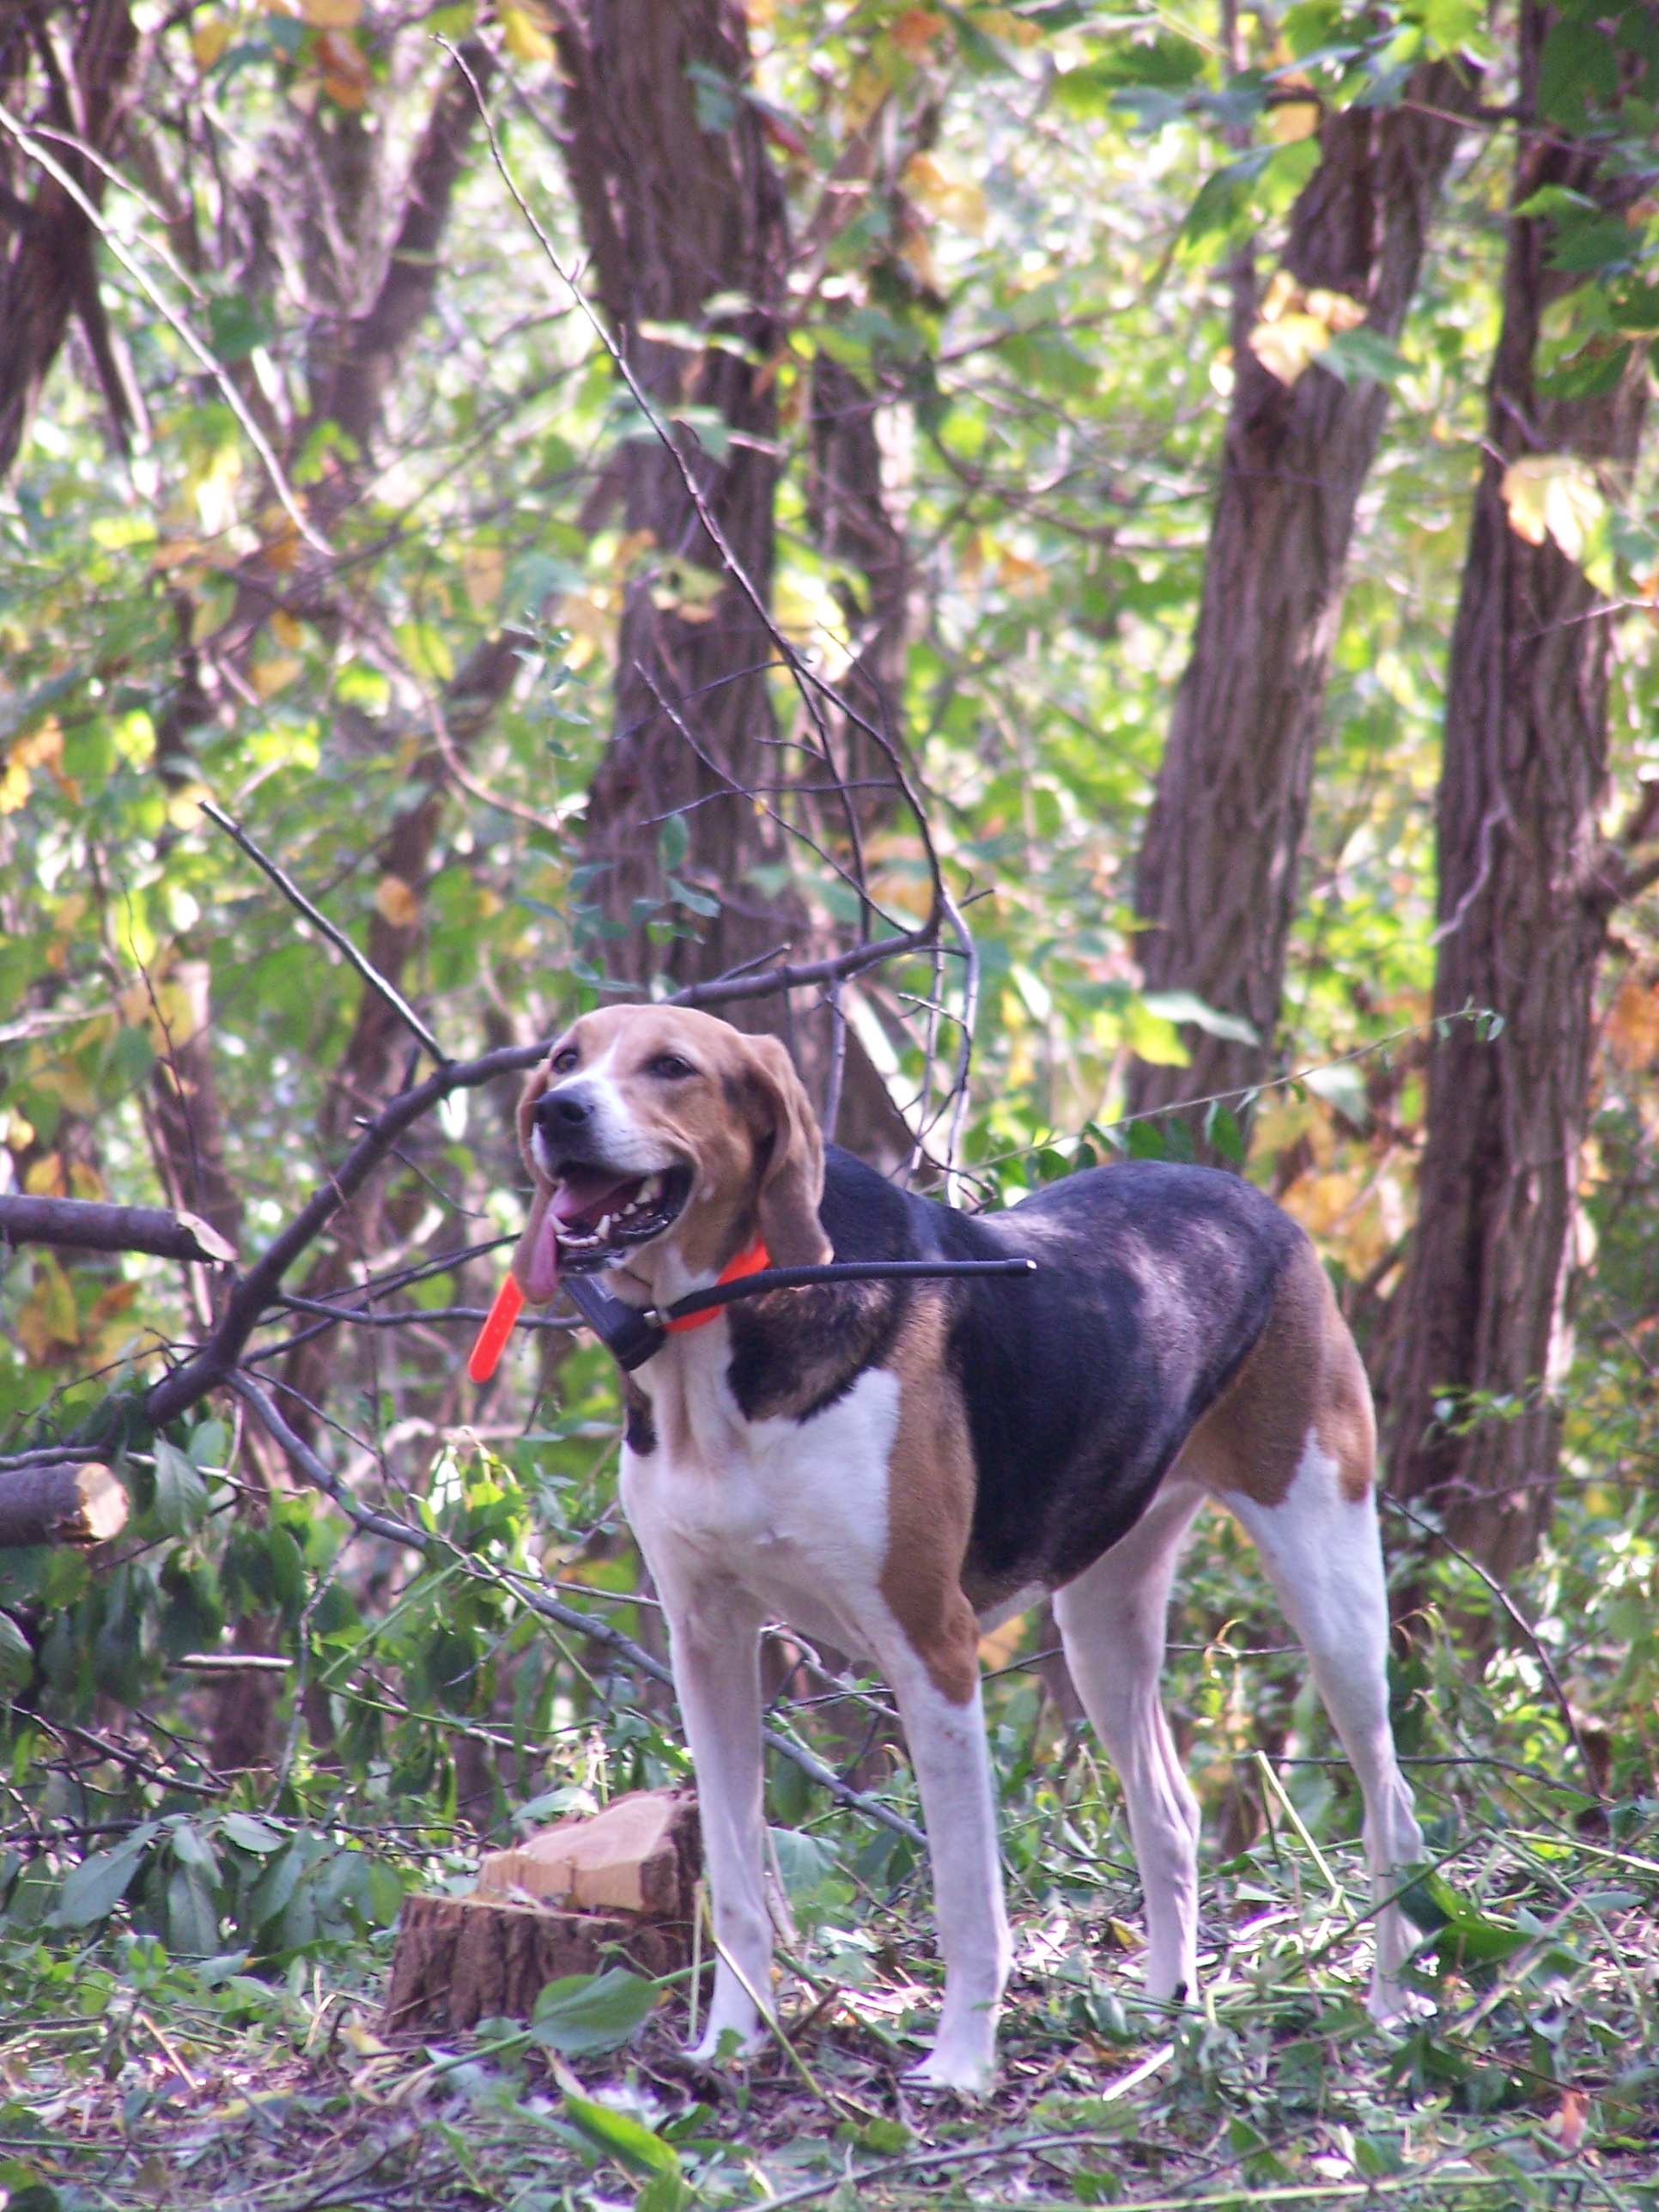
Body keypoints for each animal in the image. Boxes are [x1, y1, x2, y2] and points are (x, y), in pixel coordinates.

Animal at [511, 1004, 1433, 2087]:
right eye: (564, 1059)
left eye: (670, 1065)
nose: (561, 1112)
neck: (720, 1328)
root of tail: (1255, 1204)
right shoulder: (707, 1643)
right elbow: (736, 1885)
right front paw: (731, 2042)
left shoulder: (932, 1647)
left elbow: (965, 1897)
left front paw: (958, 2064)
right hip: (1101, 1618)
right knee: (1169, 1812)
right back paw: (1167, 2009)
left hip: (1329, 1578)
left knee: (1389, 1797)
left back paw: (1391, 2005)